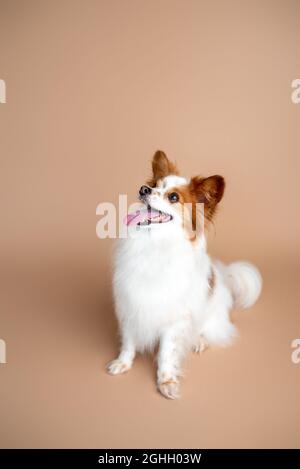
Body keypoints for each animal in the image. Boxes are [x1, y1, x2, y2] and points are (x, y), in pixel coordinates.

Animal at [106, 151, 262, 398]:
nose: (143, 190)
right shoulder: (131, 306)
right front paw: (123, 363)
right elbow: (129, 343)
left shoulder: (174, 320)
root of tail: (223, 277)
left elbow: (166, 353)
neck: (155, 244)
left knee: (211, 331)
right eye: (153, 186)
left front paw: (166, 381)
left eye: (173, 197)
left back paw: (199, 341)